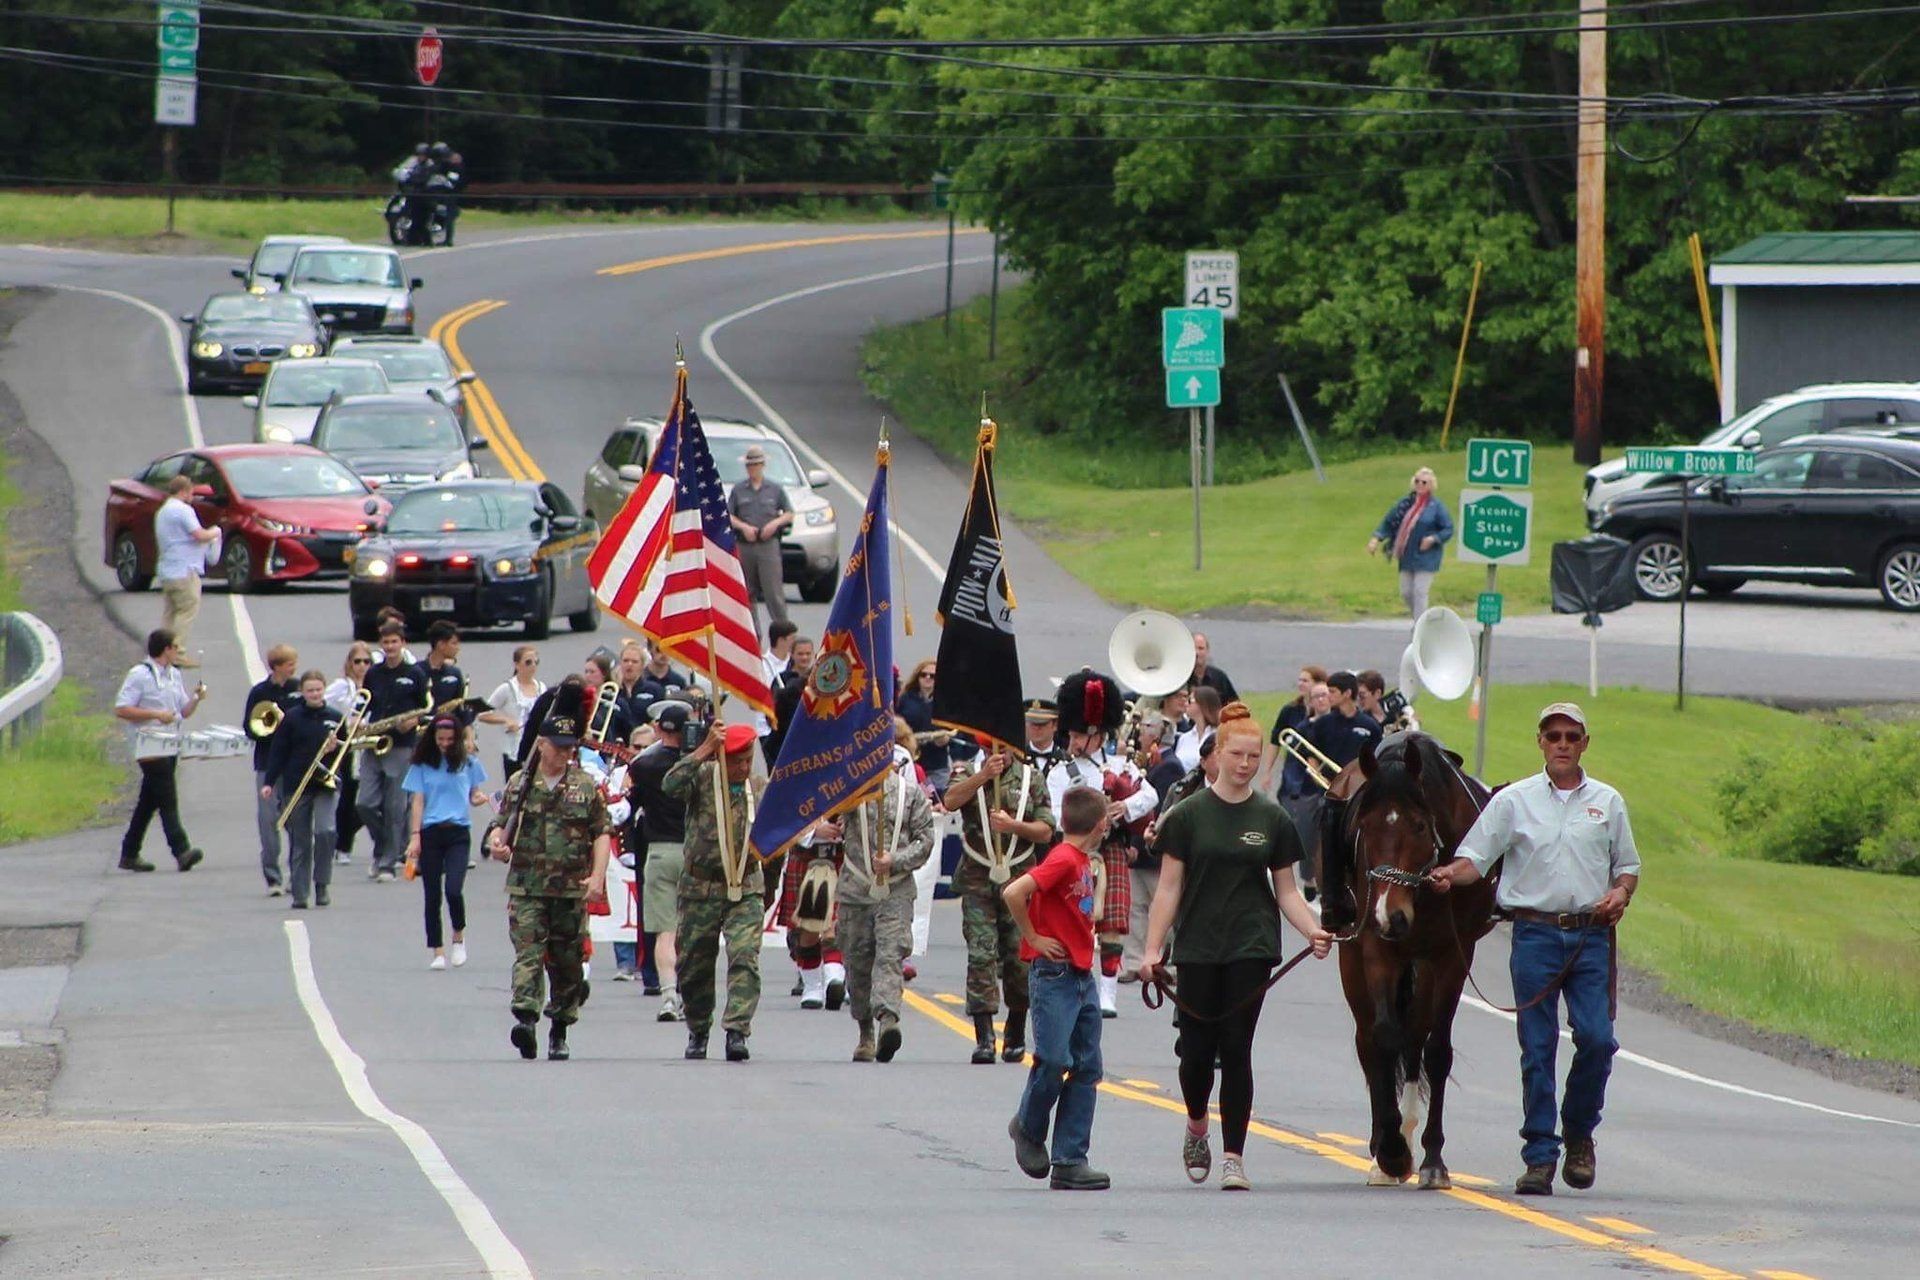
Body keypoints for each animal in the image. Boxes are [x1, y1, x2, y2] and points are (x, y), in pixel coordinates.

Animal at [1318, 731, 1499, 1190]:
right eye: (1364, 826)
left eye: (1418, 825)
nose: (1390, 914)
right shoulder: (1375, 947)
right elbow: (1383, 1037)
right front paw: (1392, 1151)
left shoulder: (1452, 954)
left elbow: (1436, 1051)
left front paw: (1432, 1157)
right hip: (1355, 956)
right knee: (1368, 1039)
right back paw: (1381, 1145)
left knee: (1416, 1039)